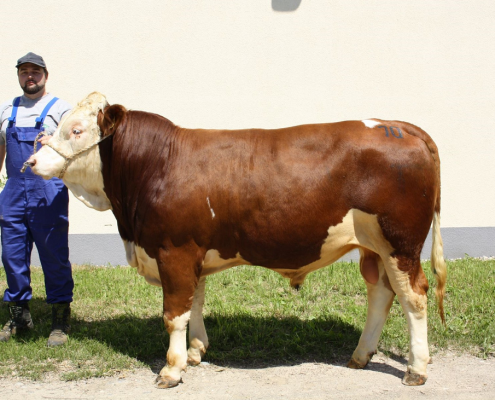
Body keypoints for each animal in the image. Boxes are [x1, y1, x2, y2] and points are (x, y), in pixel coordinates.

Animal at [25, 93, 448, 388]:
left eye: (76, 130)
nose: (31, 162)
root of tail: (400, 126)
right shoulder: (190, 253)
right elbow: (194, 302)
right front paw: (196, 351)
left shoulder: (173, 251)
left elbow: (174, 313)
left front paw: (172, 369)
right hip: (372, 248)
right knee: (381, 293)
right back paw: (360, 355)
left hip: (401, 243)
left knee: (414, 297)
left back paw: (416, 369)